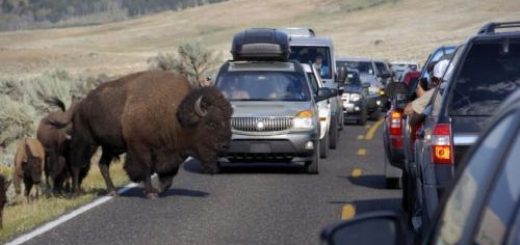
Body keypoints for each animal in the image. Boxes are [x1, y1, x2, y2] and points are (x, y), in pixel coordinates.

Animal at [59, 70, 232, 197]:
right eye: (211, 124)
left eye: (228, 119)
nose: (225, 145)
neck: (175, 115)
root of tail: (81, 104)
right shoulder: (139, 148)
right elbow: (146, 168)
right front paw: (150, 192)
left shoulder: (170, 153)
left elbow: (167, 177)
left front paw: (157, 190)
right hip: (86, 141)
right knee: (77, 163)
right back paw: (77, 192)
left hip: (110, 147)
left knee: (103, 165)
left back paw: (113, 191)